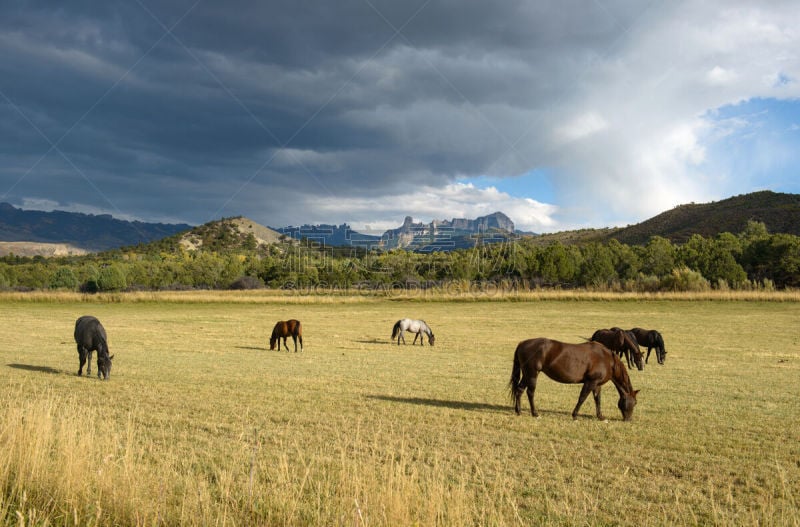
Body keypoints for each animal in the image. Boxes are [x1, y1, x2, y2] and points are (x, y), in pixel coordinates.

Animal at [510, 340, 640, 422]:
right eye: (634, 402)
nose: (628, 420)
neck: (606, 359)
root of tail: (522, 343)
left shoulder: (597, 384)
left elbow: (597, 400)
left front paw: (600, 416)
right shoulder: (590, 382)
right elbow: (582, 398)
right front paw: (575, 415)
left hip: (527, 375)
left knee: (519, 390)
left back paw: (518, 411)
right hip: (532, 374)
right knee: (530, 393)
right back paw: (535, 413)